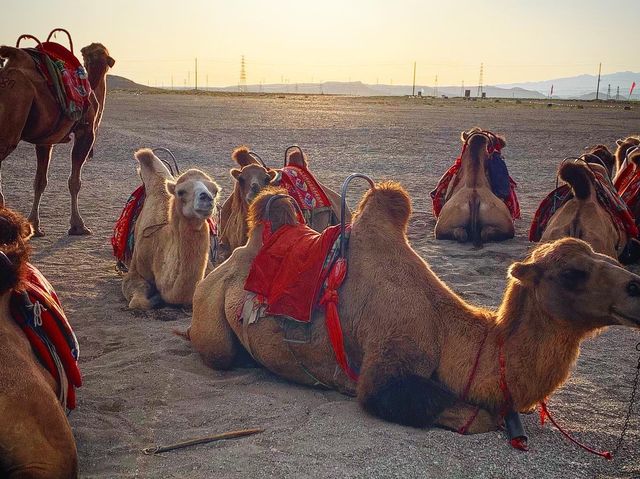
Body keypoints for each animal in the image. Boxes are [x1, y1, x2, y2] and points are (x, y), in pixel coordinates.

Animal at [0, 39, 114, 236]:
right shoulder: (86, 132)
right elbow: (74, 182)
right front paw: (78, 225)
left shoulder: (45, 141)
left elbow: (40, 181)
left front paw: (34, 226)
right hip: (12, 123)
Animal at [123, 148, 222, 310]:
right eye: (180, 192)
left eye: (215, 191)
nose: (207, 198)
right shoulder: (135, 270)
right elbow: (138, 302)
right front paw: (156, 298)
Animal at [188, 183, 640, 436]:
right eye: (573, 272)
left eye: (608, 255)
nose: (635, 287)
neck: (446, 331)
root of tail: (236, 253)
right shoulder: (388, 364)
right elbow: (476, 417)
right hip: (210, 310)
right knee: (219, 352)